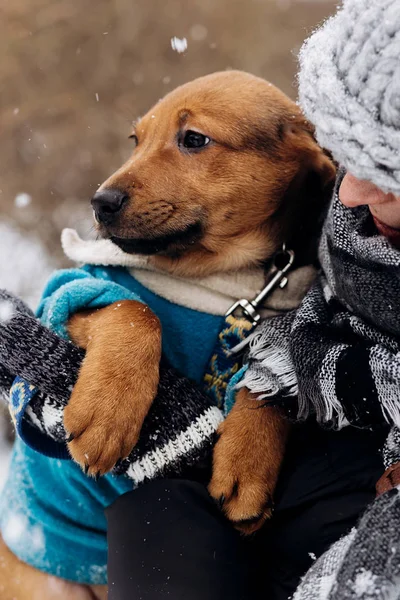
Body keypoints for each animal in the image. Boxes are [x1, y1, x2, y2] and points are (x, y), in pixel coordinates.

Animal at [0, 71, 334, 600]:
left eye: (193, 139)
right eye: (135, 140)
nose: (100, 203)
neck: (226, 282)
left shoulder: (279, 327)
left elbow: (268, 377)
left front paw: (248, 460)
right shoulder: (66, 293)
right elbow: (134, 308)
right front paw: (108, 412)